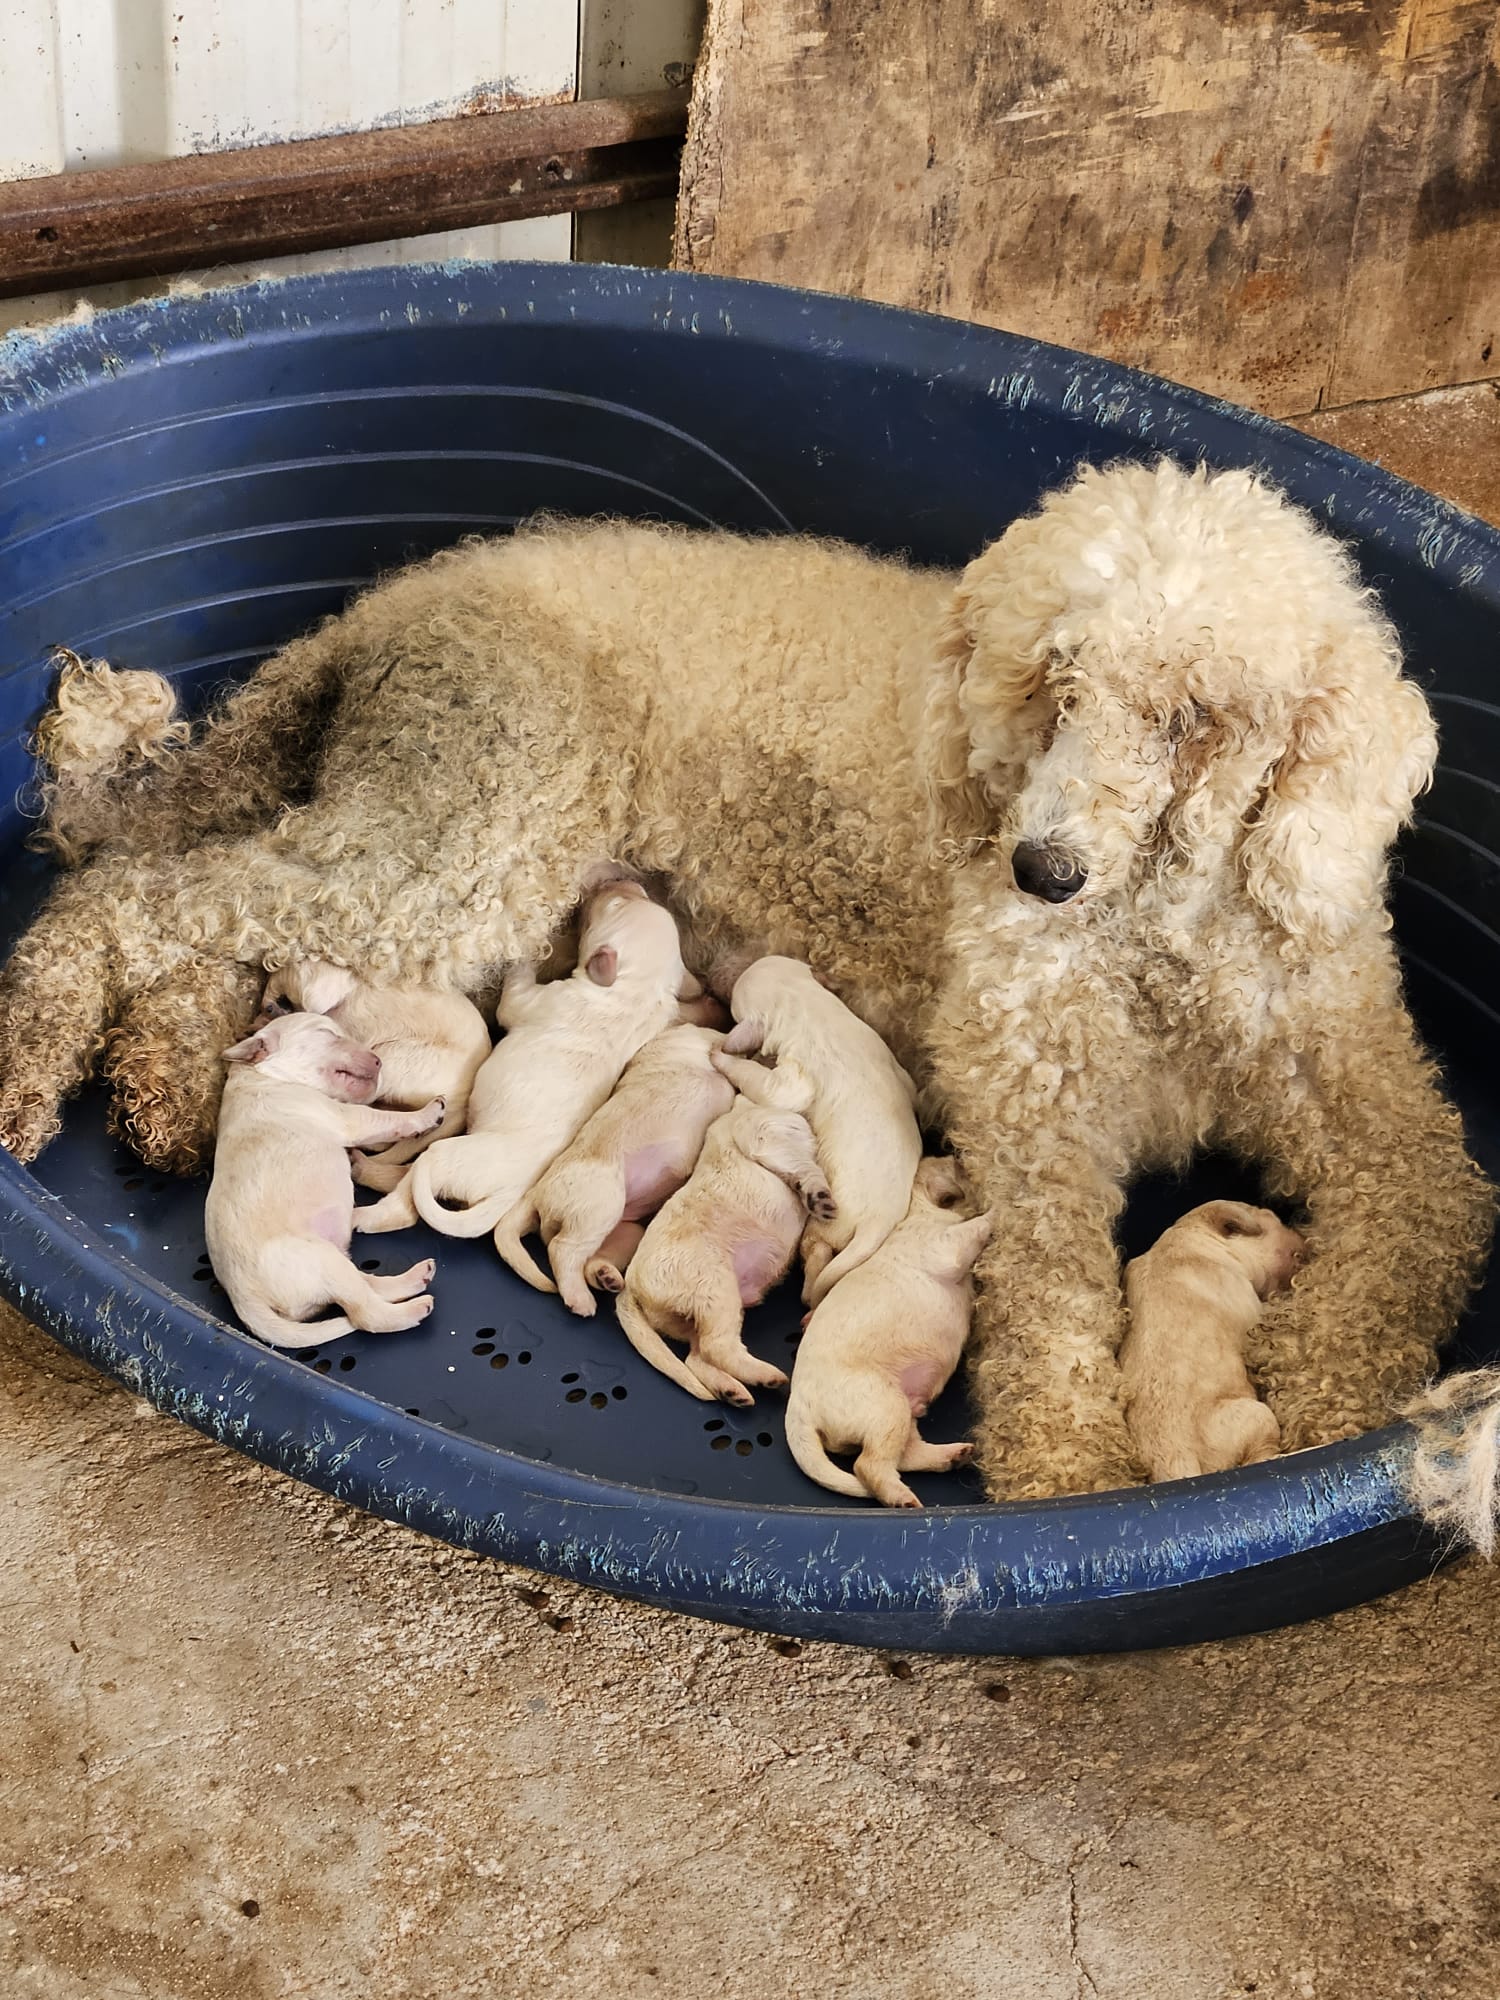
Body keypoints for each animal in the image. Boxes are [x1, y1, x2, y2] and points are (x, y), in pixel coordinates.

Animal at [204, 1011, 444, 1348]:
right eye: (327, 1033)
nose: (378, 1061)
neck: (268, 1075)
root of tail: (243, 1298)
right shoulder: (347, 1117)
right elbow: (387, 1119)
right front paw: (428, 1112)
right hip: (324, 1261)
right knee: (367, 1314)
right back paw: (414, 1308)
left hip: (335, 1263)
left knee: (367, 1288)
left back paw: (415, 1278)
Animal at [493, 1023, 735, 1314]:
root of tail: (535, 1193)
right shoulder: (699, 1039)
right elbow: (722, 1043)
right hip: (601, 1206)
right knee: (562, 1249)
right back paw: (580, 1299)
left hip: (626, 1231)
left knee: (589, 1259)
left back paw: (605, 1277)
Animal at [613, 1057, 836, 1406]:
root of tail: (631, 1286)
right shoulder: (764, 1135)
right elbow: (803, 1166)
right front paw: (821, 1199)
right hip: (715, 1290)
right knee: (717, 1347)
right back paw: (769, 1377)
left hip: (692, 1315)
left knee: (697, 1356)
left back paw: (733, 1392)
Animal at [710, 955, 921, 1306]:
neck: (806, 1001)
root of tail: (879, 1221)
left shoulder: (790, 1080)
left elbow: (763, 1082)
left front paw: (720, 1055)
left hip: (822, 1228)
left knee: (815, 1262)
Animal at [784, 1156, 992, 1507]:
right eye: (957, 1166)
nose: (958, 1156)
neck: (920, 1210)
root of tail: (797, 1412)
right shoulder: (944, 1246)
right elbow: (976, 1226)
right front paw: (999, 1210)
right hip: (885, 1407)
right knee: (868, 1466)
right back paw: (902, 1499)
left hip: (902, 1414)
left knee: (905, 1456)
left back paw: (954, 1456)